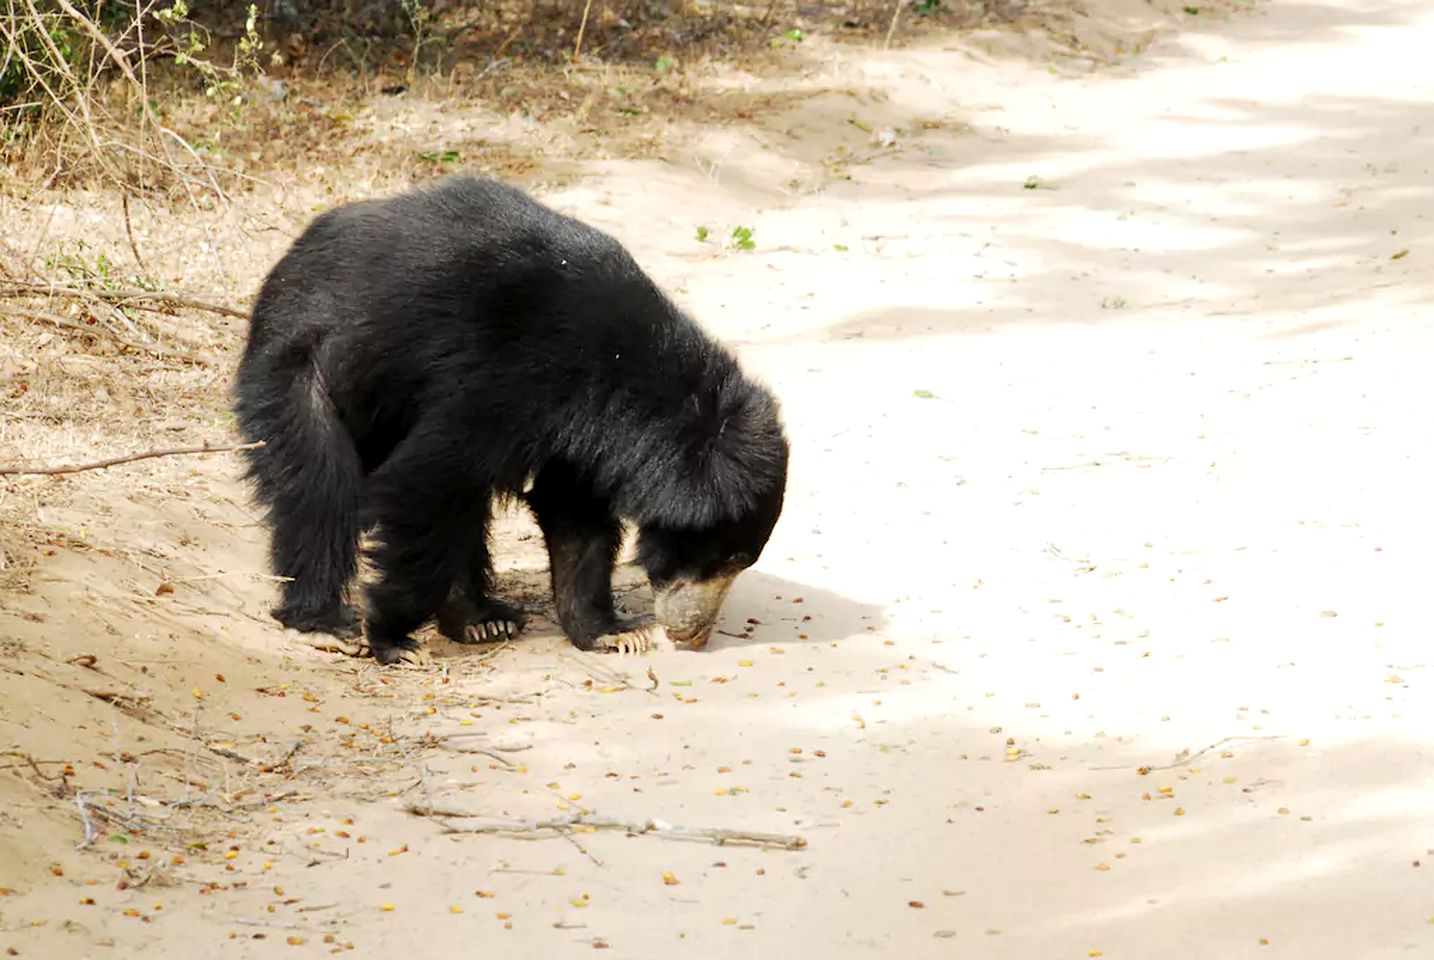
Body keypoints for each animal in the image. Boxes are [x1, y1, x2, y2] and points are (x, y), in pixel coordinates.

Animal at [239, 175, 791, 662]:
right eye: (720, 558)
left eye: (739, 561)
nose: (692, 632)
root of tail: (289, 261)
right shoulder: (501, 380)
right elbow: (423, 486)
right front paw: (391, 634)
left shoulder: (588, 433)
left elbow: (572, 512)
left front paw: (611, 633)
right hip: (302, 368)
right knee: (320, 489)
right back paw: (323, 623)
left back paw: (480, 619)